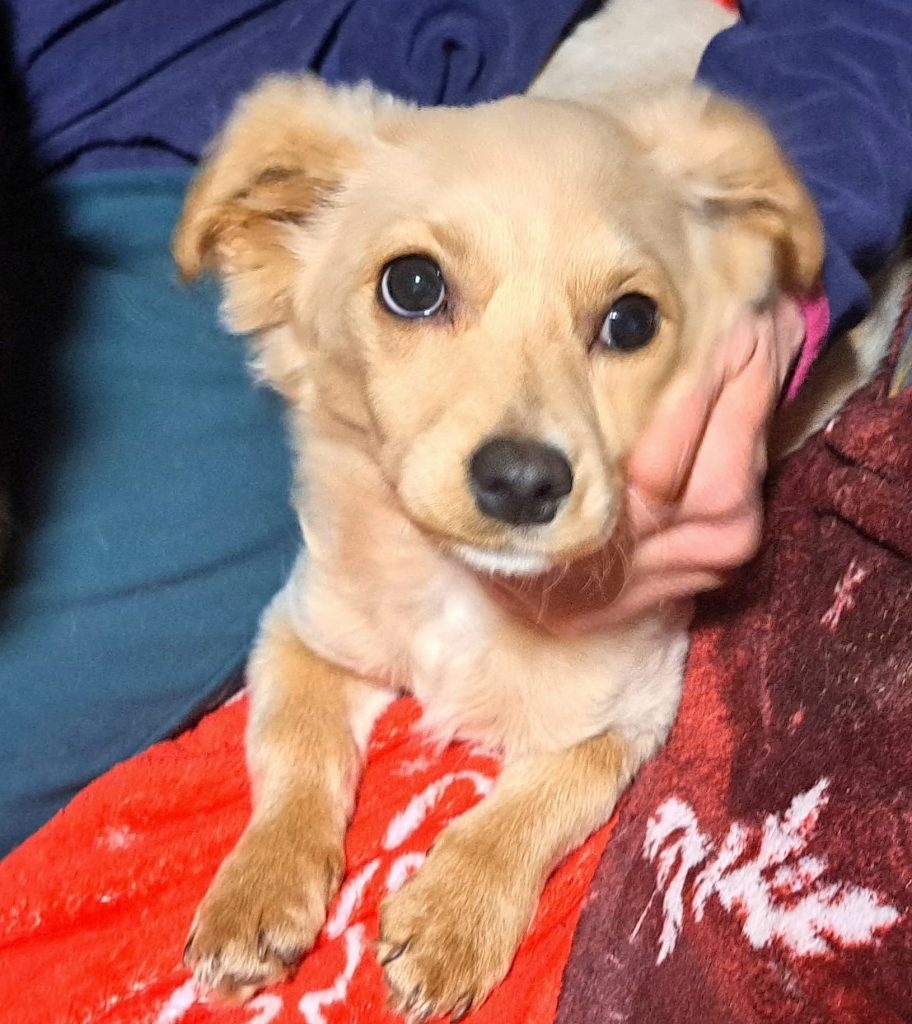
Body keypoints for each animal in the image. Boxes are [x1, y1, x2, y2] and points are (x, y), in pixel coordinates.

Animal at [173, 3, 892, 1017]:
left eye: (632, 321)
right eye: (412, 285)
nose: (522, 481)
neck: (462, 592)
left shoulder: (632, 709)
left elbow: (541, 800)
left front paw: (454, 913)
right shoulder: (301, 630)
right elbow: (294, 745)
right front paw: (260, 885)